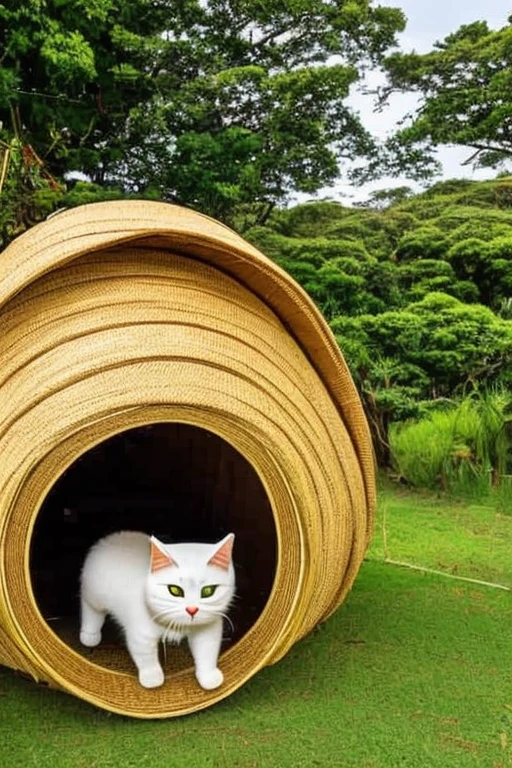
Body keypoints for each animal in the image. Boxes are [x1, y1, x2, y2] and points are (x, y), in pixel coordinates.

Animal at [79, 536, 235, 688]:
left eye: (208, 591)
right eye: (174, 590)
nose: (192, 609)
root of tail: (109, 538)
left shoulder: (208, 629)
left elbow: (207, 652)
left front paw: (209, 677)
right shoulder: (141, 634)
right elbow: (146, 657)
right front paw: (152, 678)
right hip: (94, 595)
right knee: (90, 609)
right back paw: (89, 635)